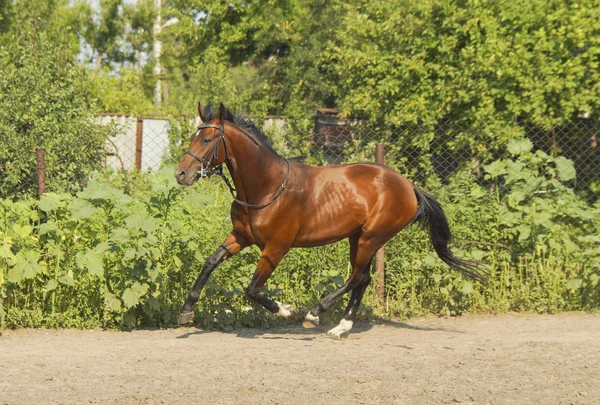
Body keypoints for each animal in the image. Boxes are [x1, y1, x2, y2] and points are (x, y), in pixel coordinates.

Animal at [173, 102, 482, 336]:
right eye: (193, 137)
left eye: (207, 139)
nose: (181, 174)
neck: (267, 186)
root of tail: (409, 187)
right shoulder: (241, 236)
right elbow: (210, 262)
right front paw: (186, 311)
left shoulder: (276, 248)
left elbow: (252, 289)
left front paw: (287, 310)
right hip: (358, 237)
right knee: (363, 278)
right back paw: (341, 327)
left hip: (372, 237)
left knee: (356, 277)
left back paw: (315, 314)